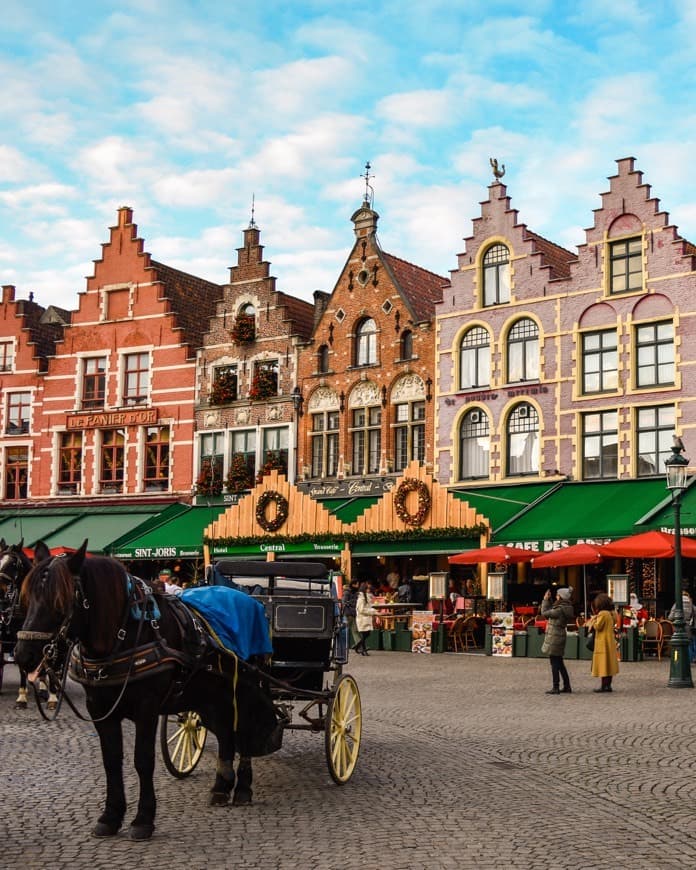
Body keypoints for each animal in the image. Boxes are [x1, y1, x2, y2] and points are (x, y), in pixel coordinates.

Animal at [14, 540, 280, 840]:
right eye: (28, 598)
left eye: (59, 601)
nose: (23, 655)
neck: (125, 634)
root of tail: (248, 598)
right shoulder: (100, 709)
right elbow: (111, 760)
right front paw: (110, 816)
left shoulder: (147, 708)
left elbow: (143, 760)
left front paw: (143, 819)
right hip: (212, 695)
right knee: (225, 731)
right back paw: (221, 787)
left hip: (245, 688)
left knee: (244, 729)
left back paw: (243, 787)